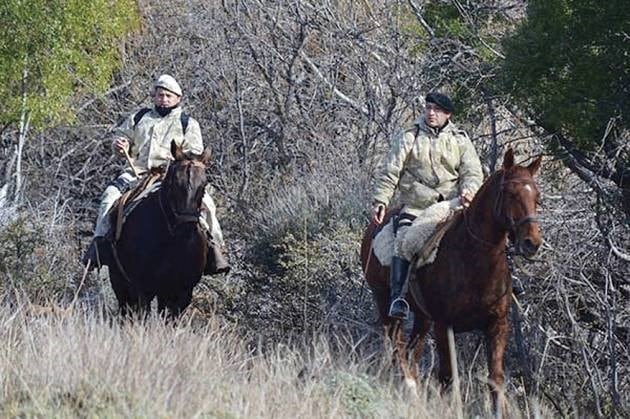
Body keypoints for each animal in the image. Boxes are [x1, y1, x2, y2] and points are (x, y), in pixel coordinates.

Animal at [109, 142, 212, 318]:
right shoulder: (142, 289)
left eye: (203, 185)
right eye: (174, 182)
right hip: (120, 284)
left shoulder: (182, 292)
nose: (187, 227)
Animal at [362, 149, 544, 416]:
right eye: (511, 193)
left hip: (423, 319)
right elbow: (448, 377)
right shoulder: (444, 326)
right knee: (397, 348)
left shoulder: (497, 325)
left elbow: (496, 379)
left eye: (537, 196)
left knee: (411, 352)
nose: (532, 243)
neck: (475, 260)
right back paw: (409, 388)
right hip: (384, 303)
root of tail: (374, 227)